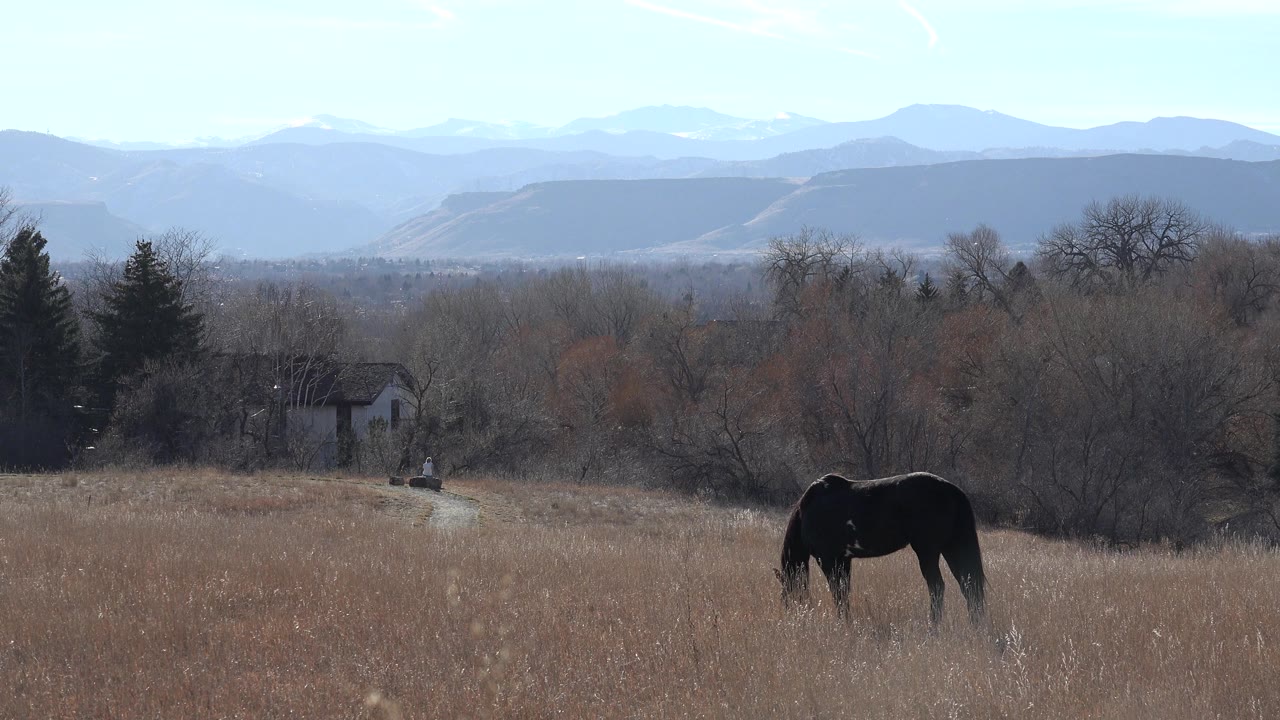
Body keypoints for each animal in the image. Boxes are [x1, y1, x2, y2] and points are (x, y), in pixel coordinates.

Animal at [773, 472, 986, 627]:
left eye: (785, 594)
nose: (793, 617)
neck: (807, 511)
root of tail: (952, 490)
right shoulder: (843, 560)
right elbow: (844, 591)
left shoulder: (827, 559)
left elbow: (837, 592)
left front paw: (842, 623)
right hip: (953, 548)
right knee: (969, 587)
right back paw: (975, 626)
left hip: (928, 551)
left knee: (937, 587)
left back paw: (933, 627)